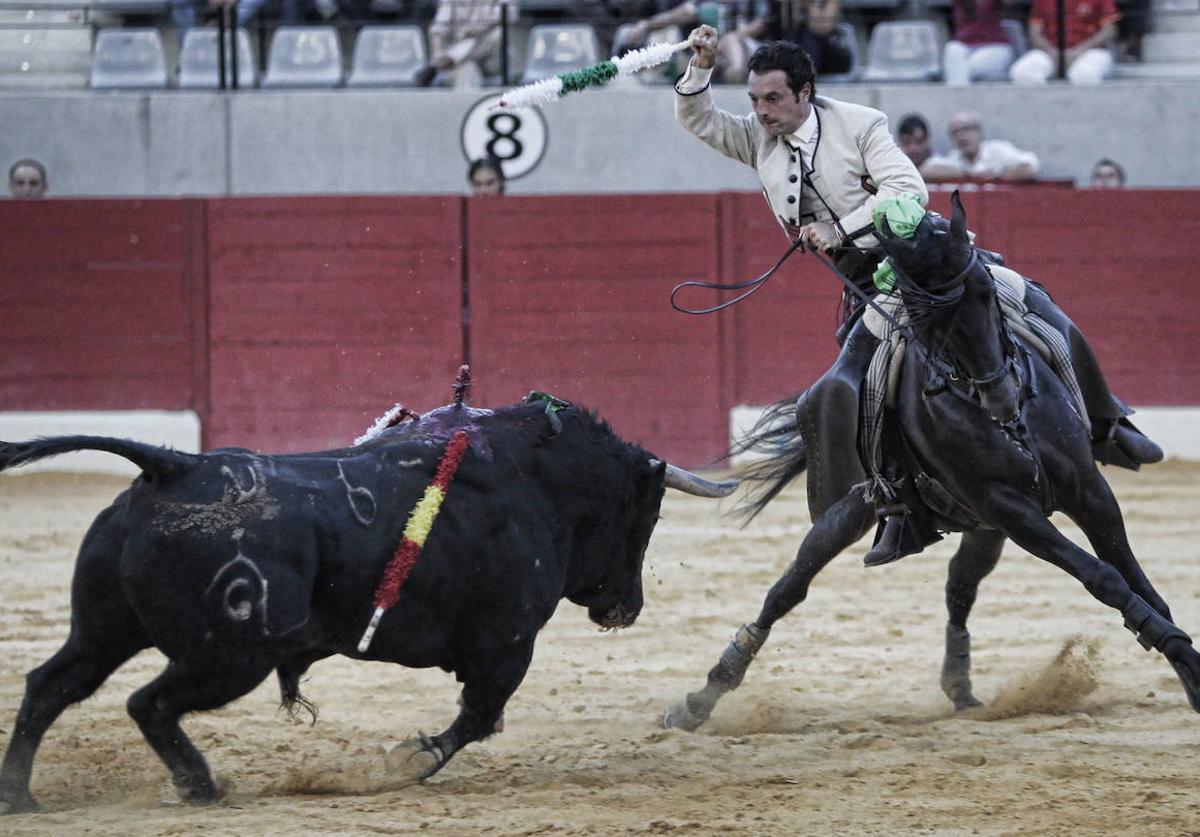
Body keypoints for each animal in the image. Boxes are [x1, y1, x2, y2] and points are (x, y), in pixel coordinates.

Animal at [0, 398, 729, 810]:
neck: (534, 482)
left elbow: (478, 719)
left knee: (50, 685)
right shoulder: (507, 643)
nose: (626, 607)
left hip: (105, 630)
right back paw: (202, 787)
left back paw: (21, 796)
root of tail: (173, 465)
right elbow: (476, 720)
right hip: (231, 655)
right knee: (146, 702)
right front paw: (408, 762)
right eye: (646, 513)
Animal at [667, 191, 1200, 729]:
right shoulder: (1010, 508)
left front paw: (1188, 668)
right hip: (853, 511)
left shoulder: (1087, 490)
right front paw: (1178, 653)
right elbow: (1103, 576)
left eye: (985, 293)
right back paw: (699, 700)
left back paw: (960, 686)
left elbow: (1134, 577)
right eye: (926, 320)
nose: (1001, 398)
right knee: (789, 588)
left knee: (959, 584)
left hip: (983, 525)